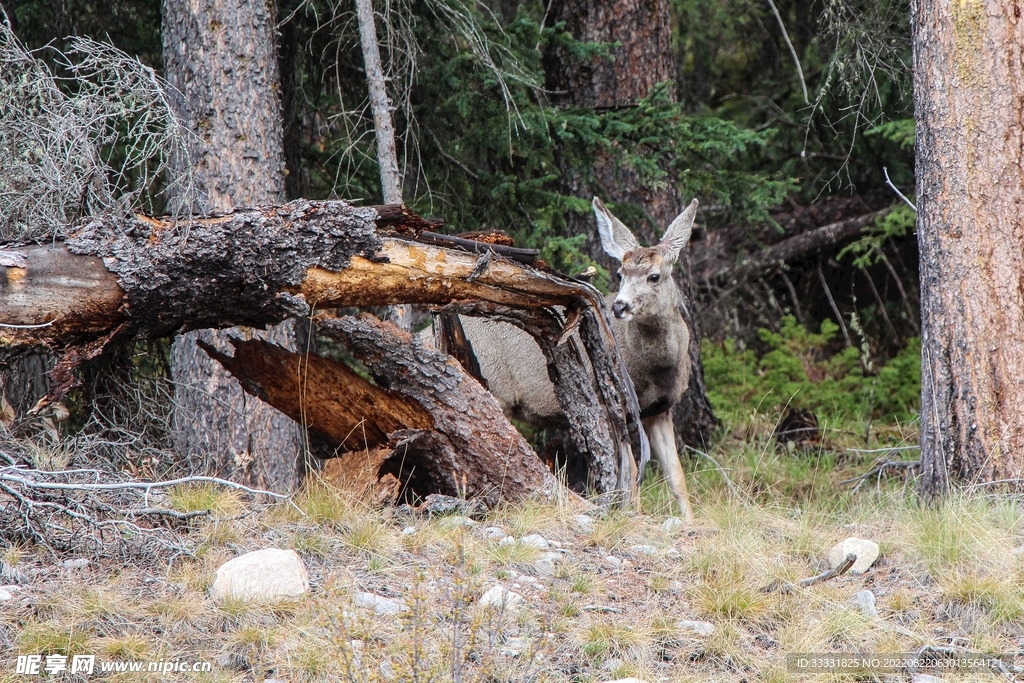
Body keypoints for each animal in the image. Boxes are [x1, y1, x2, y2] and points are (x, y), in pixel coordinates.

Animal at [457, 197, 698, 520]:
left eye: (654, 276)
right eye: (620, 274)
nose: (619, 306)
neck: (656, 370)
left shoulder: (660, 410)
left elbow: (677, 477)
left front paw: (690, 520)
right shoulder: (609, 403)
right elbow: (630, 476)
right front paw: (631, 517)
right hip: (494, 389)